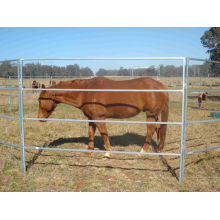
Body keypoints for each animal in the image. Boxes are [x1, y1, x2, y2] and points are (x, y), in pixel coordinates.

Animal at [37, 76, 168, 157]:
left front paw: (108, 153)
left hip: (150, 114)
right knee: (158, 128)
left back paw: (142, 151)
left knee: (151, 130)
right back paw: (158, 149)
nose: (39, 118)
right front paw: (89, 151)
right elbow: (91, 133)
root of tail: (161, 86)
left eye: (40, 99)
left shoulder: (99, 118)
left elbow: (104, 134)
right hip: (154, 115)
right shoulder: (91, 118)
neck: (86, 92)